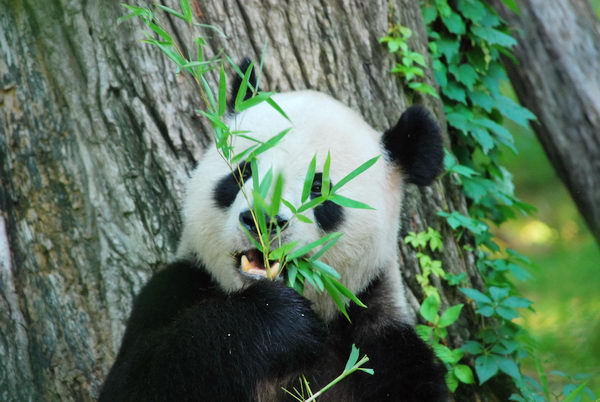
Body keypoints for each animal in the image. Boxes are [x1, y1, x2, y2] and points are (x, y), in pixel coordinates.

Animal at [99, 62, 446, 402]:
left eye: (318, 188)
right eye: (244, 171)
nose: (263, 220)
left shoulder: (384, 346)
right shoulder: (173, 291)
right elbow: (140, 380)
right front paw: (277, 319)